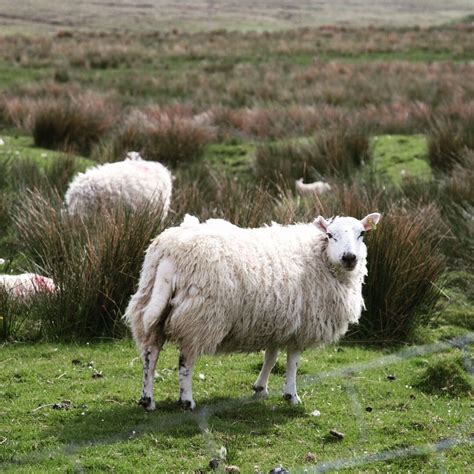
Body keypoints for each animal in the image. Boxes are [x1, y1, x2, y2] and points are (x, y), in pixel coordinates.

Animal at [125, 212, 382, 412]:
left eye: (361, 234)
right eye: (330, 235)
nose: (349, 258)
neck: (318, 255)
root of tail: (170, 252)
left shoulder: (278, 321)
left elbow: (270, 357)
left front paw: (260, 388)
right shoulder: (301, 325)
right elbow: (292, 362)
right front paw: (292, 396)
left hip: (151, 303)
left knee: (150, 353)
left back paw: (147, 400)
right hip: (200, 316)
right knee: (185, 359)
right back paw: (187, 400)